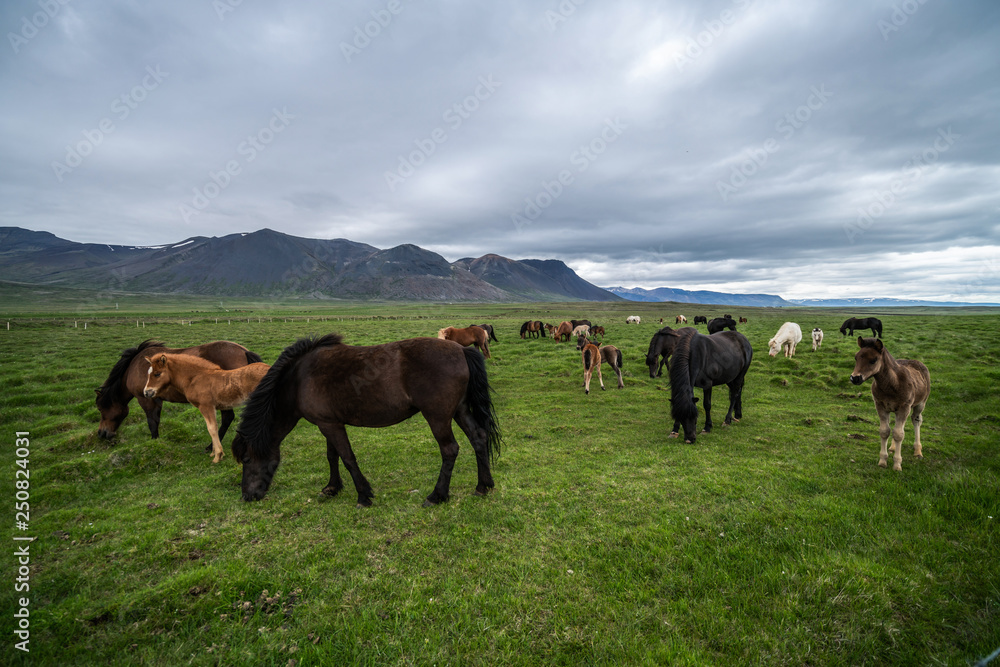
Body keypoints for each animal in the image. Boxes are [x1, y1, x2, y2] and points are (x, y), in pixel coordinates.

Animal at [94, 342, 264, 446]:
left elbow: (151, 422)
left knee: (228, 418)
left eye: (100, 409)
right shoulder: (156, 399)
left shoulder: (146, 399)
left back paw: (211, 446)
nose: (101, 433)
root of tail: (244, 351)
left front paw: (154, 442)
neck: (134, 368)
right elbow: (156, 420)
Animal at [141, 354, 272, 464]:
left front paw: (218, 455)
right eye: (148, 373)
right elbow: (212, 427)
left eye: (157, 374)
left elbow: (212, 428)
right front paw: (214, 452)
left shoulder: (206, 406)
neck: (195, 378)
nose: (147, 392)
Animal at [232, 336, 500, 508]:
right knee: (478, 438)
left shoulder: (330, 425)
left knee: (450, 450)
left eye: (246, 459)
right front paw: (332, 488)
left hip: (438, 417)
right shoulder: (329, 422)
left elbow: (348, 458)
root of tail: (461, 350)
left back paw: (437, 495)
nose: (247, 496)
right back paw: (483, 486)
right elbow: (332, 456)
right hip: (459, 410)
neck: (299, 379)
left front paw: (363, 495)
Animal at [852, 336, 928, 472]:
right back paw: (892, 448)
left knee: (916, 420)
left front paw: (897, 464)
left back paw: (918, 451)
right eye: (856, 357)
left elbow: (899, 434)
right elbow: (885, 431)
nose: (855, 378)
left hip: (920, 404)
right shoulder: (880, 406)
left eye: (873, 360)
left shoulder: (904, 407)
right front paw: (882, 461)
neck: (892, 384)